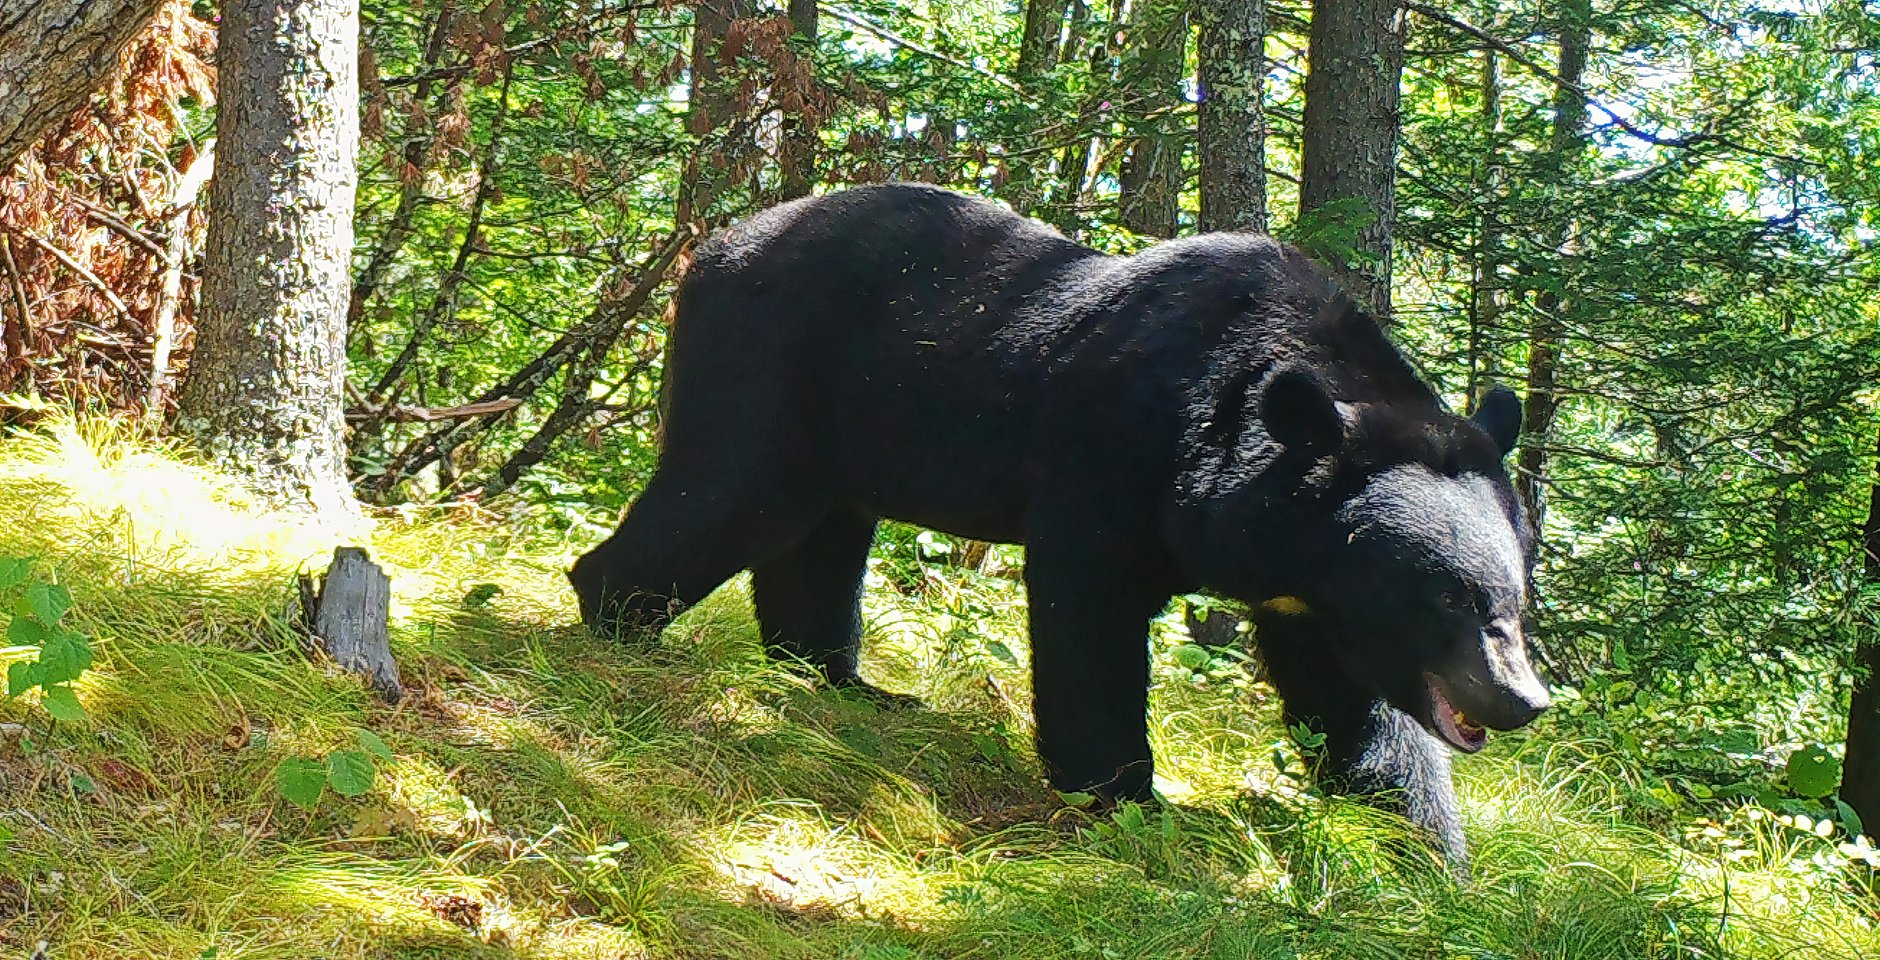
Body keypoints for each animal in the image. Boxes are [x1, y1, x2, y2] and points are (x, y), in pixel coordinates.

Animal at [564, 184, 1549, 867]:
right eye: (1448, 597)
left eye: (1514, 597)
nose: (1522, 700)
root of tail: (714, 245)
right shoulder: (1117, 447)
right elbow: (1090, 616)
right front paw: (1124, 797)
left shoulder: (1314, 592)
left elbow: (1360, 708)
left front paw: (1426, 853)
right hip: (774, 367)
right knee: (729, 489)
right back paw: (616, 613)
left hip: (850, 426)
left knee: (819, 539)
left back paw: (844, 680)